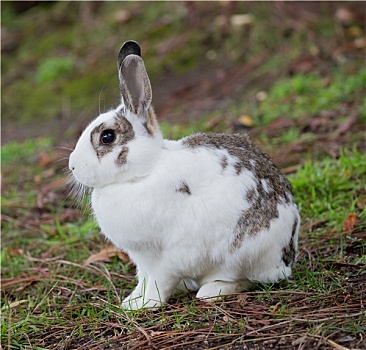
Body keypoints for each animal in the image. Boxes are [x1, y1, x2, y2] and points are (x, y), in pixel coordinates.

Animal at [68, 39, 300, 310]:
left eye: (107, 136)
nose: (72, 166)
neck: (143, 173)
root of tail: (286, 258)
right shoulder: (142, 260)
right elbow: (142, 279)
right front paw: (130, 301)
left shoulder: (168, 256)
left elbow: (159, 282)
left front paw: (144, 305)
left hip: (243, 254)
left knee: (246, 279)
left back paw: (211, 290)